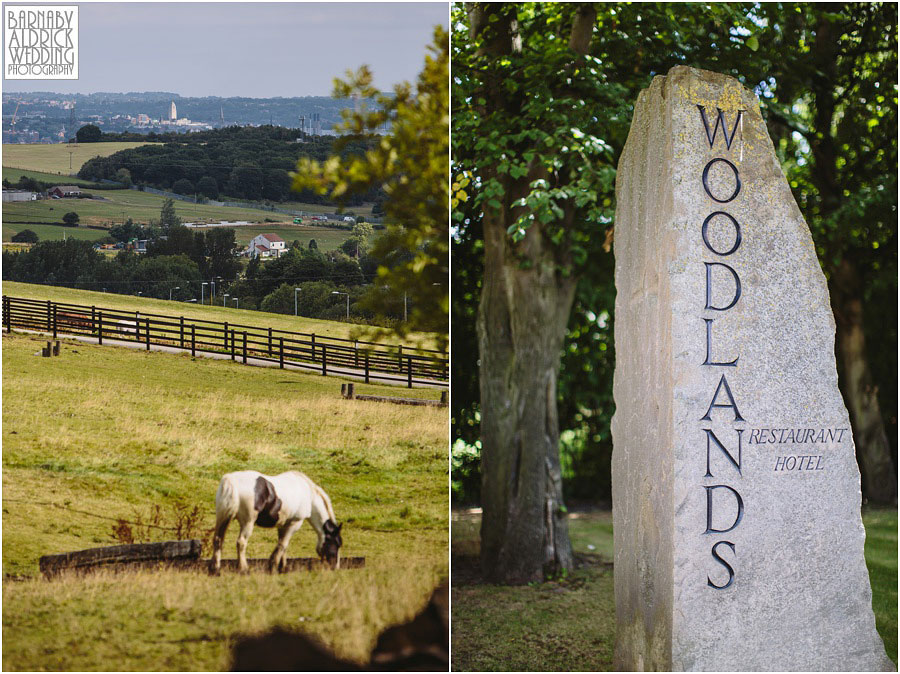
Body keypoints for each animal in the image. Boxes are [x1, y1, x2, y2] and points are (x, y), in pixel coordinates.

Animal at [209, 468, 342, 572]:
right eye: (336, 543)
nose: (335, 567)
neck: (309, 495)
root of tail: (230, 480)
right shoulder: (295, 523)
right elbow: (283, 544)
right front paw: (273, 565)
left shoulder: (283, 525)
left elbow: (282, 544)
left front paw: (282, 567)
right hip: (247, 522)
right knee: (241, 542)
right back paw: (243, 568)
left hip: (222, 518)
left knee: (217, 540)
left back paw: (215, 568)